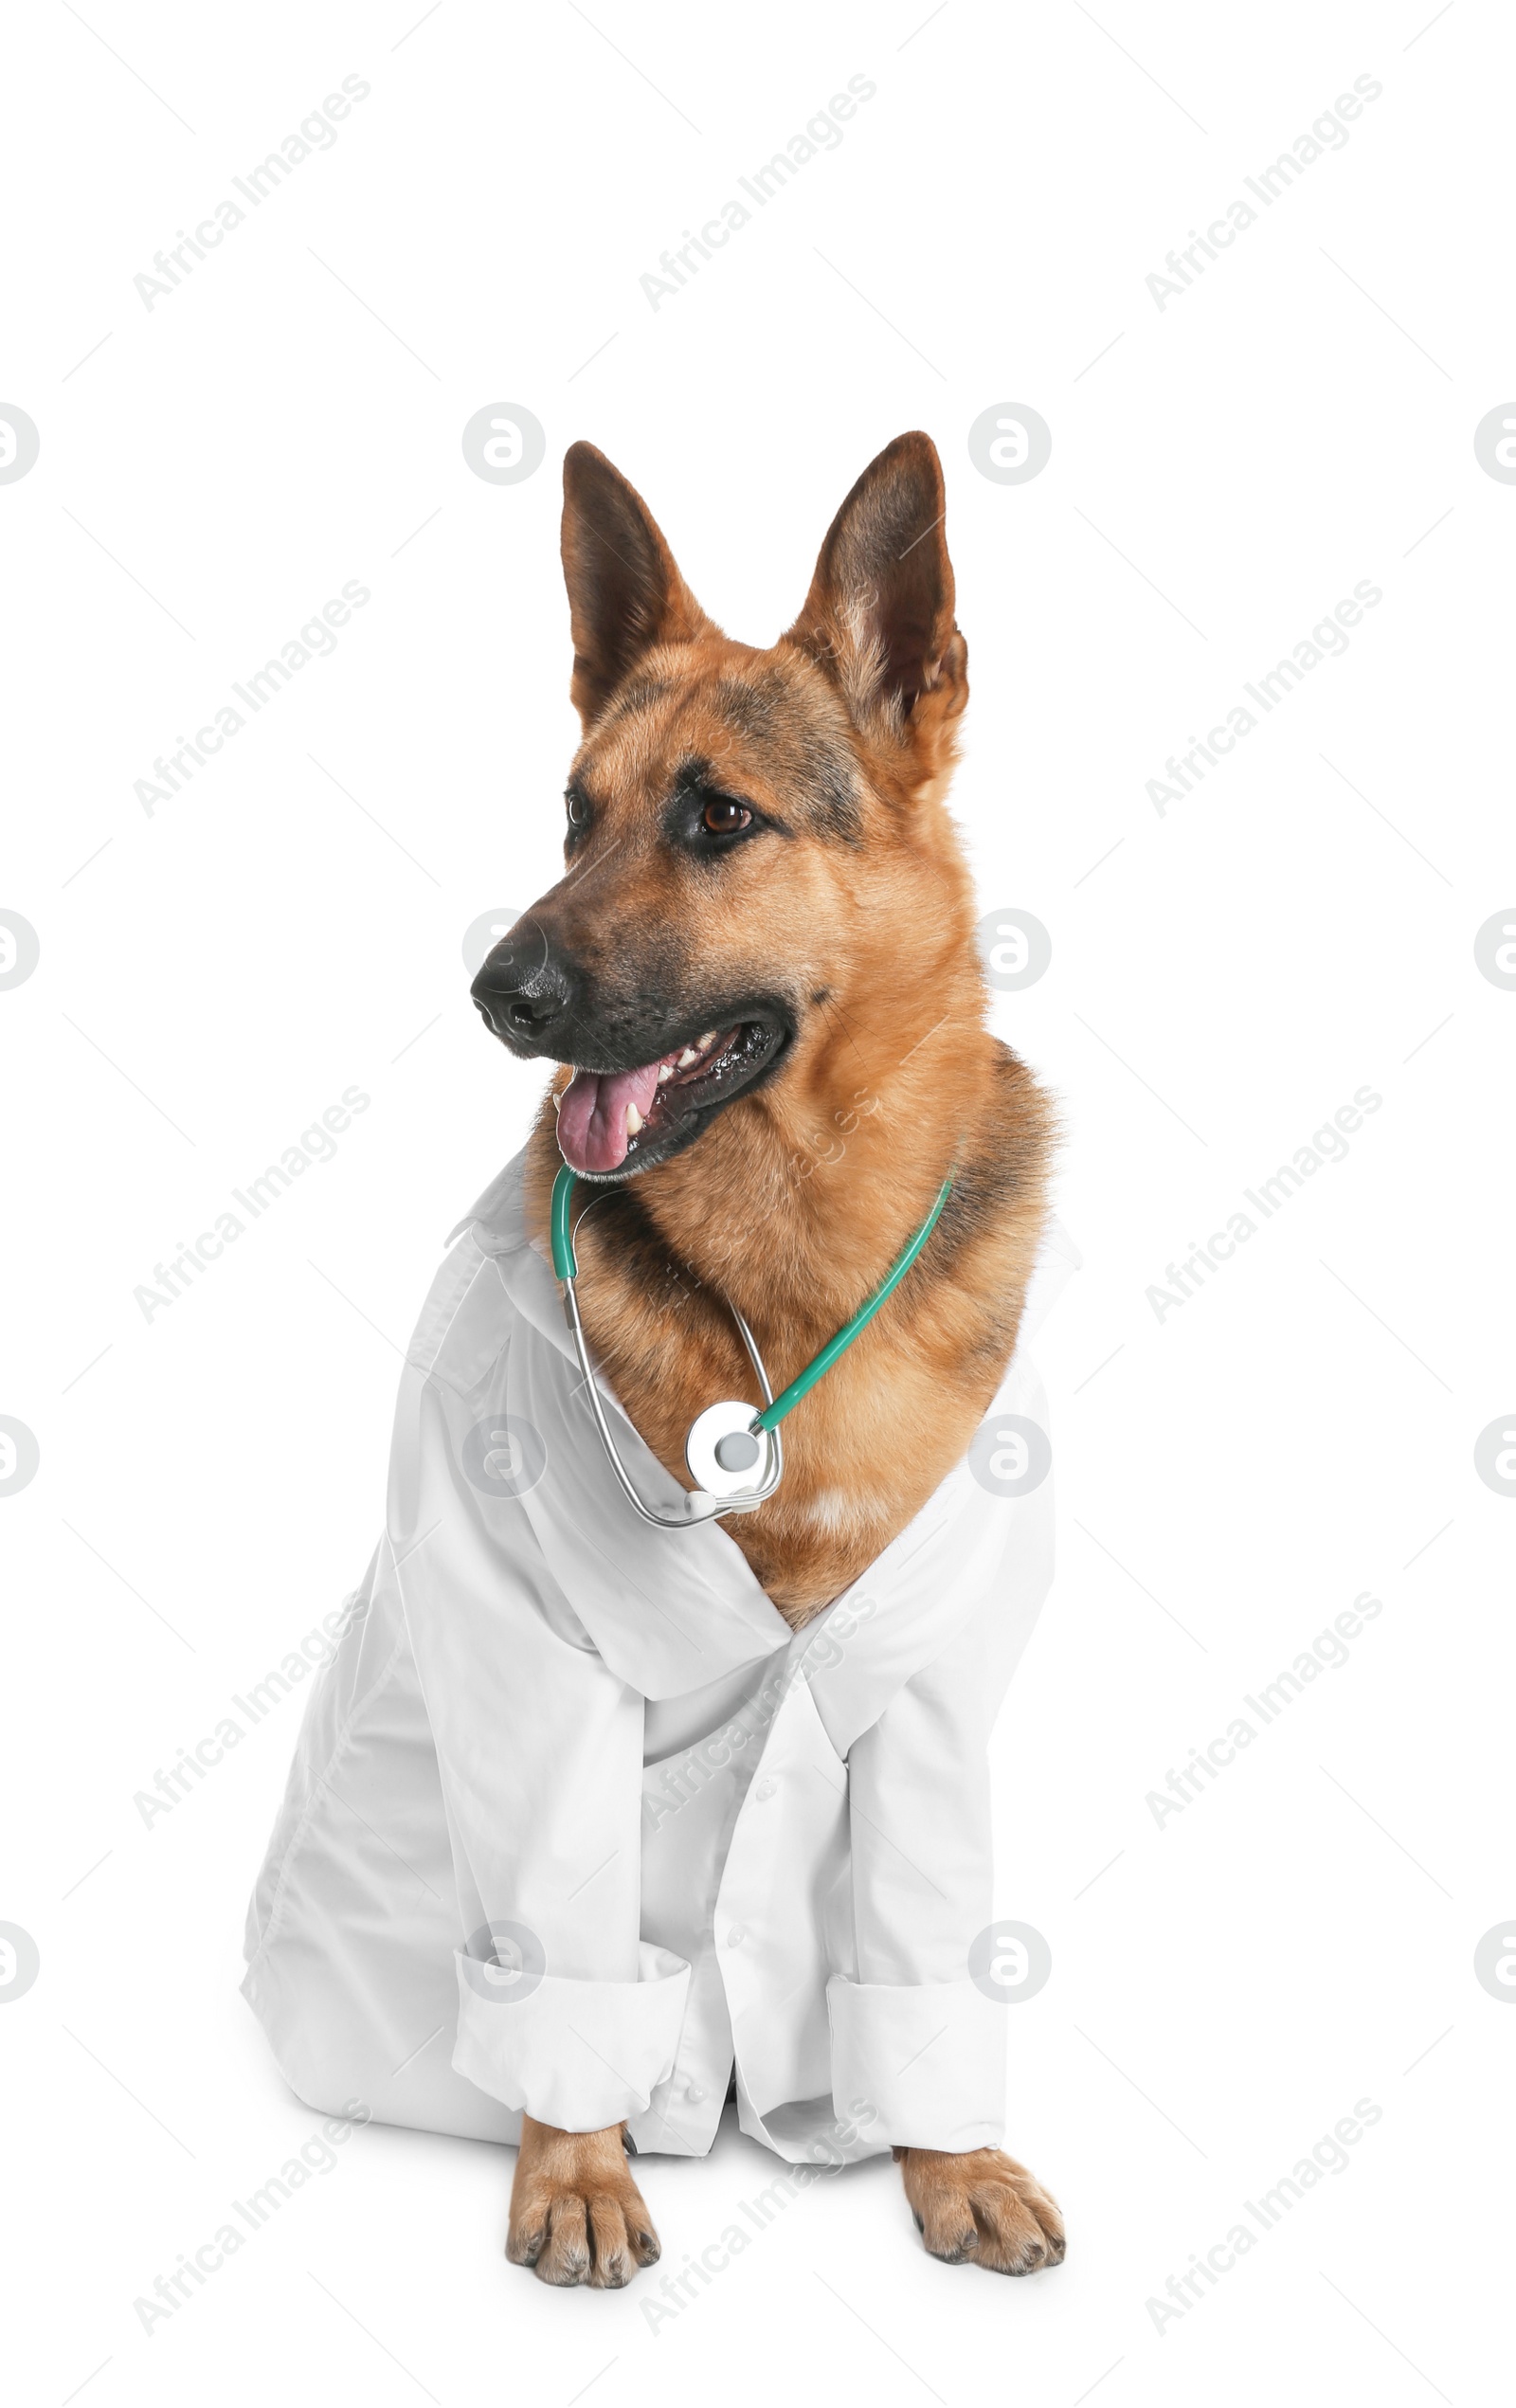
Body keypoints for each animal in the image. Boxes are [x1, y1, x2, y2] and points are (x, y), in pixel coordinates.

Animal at [469, 424, 1063, 2282]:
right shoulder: (539, 1654)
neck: (791, 1269)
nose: (497, 992)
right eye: (573, 815)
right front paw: (578, 2171)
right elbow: (560, 1917)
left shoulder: (934, 1679)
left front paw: (953, 2161)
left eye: (716, 817)